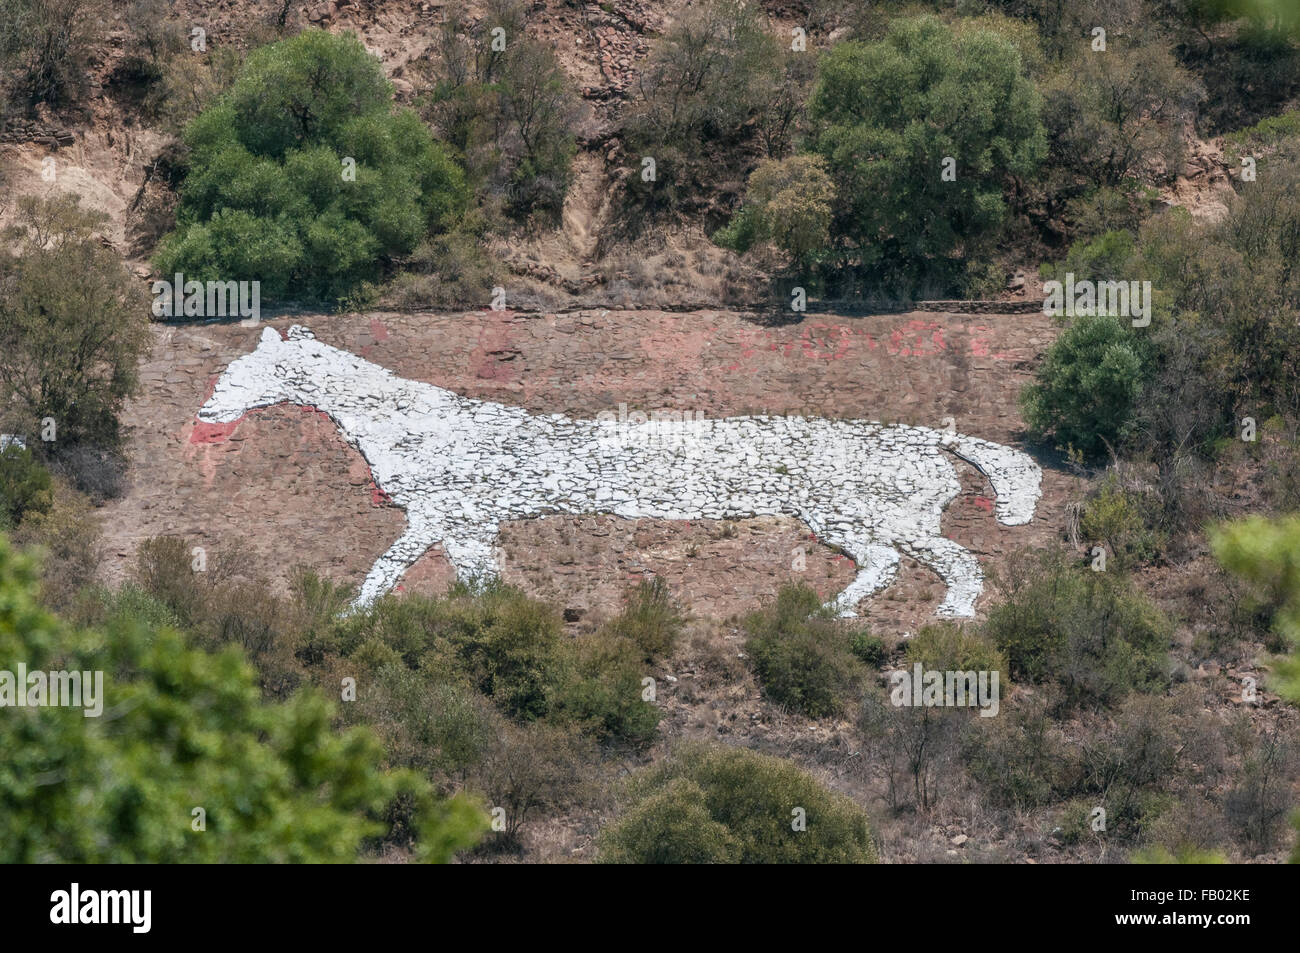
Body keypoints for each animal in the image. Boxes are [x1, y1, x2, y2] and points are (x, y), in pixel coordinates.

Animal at [196, 325, 1042, 616]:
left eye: (241, 369)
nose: (206, 411)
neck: (416, 424)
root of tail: (924, 435)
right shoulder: (466, 525)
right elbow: (471, 577)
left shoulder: (442, 515)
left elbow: (387, 568)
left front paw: (349, 617)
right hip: (839, 520)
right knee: (886, 567)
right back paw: (824, 616)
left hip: (876, 514)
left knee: (954, 563)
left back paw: (949, 619)